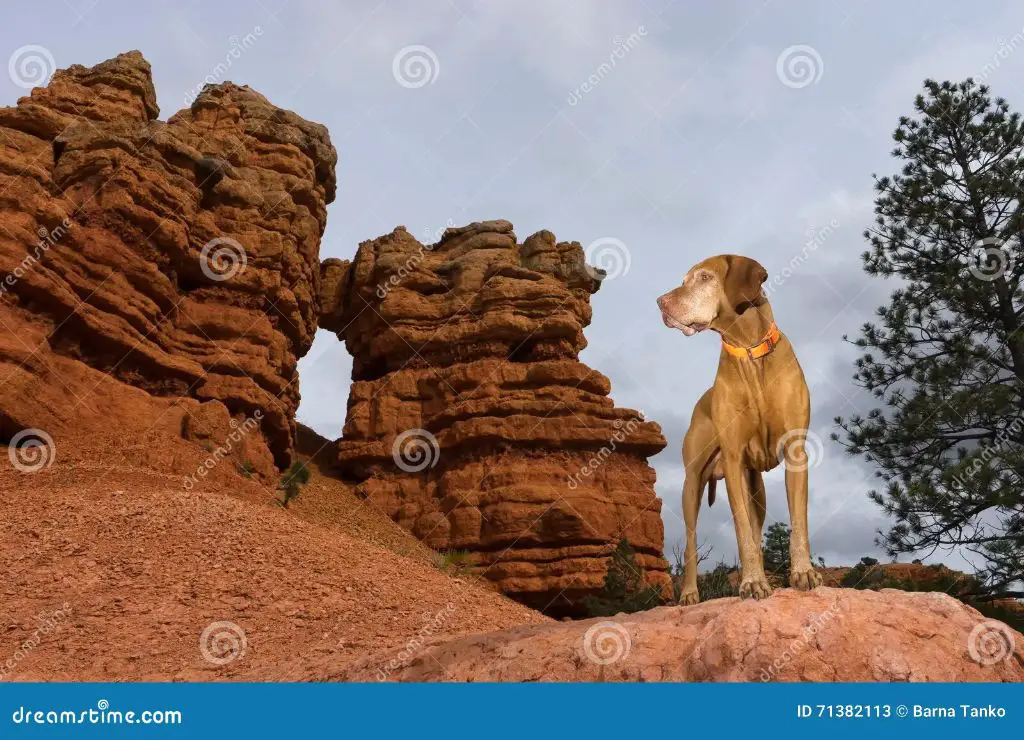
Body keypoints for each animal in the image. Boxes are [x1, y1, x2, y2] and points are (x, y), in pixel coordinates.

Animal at [655, 254, 823, 601]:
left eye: (705, 277)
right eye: (684, 280)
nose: (660, 302)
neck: (748, 350)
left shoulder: (795, 453)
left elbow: (797, 522)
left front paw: (803, 572)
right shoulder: (733, 459)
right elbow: (742, 531)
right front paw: (753, 582)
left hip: (755, 488)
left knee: (755, 528)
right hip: (692, 484)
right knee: (692, 542)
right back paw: (690, 593)